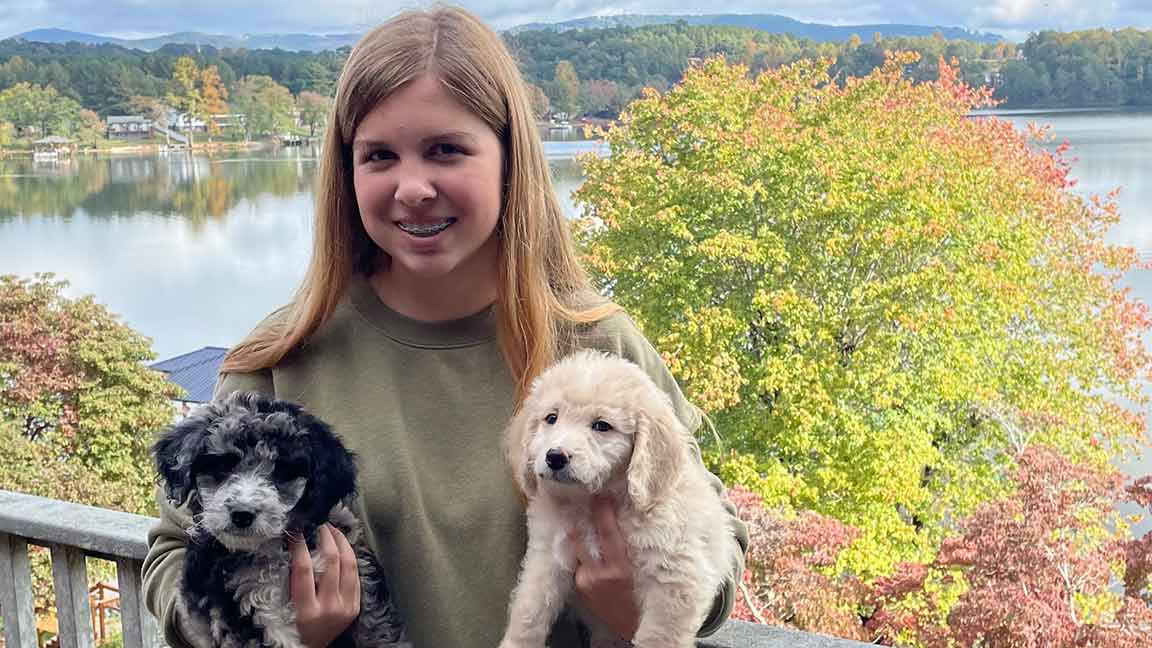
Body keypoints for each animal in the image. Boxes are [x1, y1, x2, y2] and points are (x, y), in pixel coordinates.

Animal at [150, 387, 407, 645]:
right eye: (223, 466)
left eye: (283, 471)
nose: (242, 514)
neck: (273, 550)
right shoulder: (246, 610)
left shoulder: (363, 578)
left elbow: (378, 632)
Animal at [499, 350, 741, 641]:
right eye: (551, 418)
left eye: (602, 426)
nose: (555, 457)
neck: (593, 501)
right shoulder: (547, 557)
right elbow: (528, 614)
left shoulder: (677, 579)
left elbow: (656, 638)